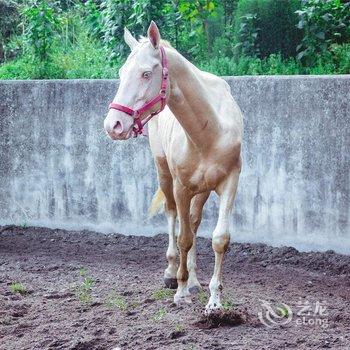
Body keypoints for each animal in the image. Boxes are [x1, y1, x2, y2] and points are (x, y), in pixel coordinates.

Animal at [104, 20, 243, 314]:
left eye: (146, 73)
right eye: (122, 73)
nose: (113, 125)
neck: (209, 131)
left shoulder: (229, 182)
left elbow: (219, 238)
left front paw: (214, 300)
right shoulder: (181, 187)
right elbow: (183, 238)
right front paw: (180, 290)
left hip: (201, 189)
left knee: (193, 220)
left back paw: (194, 279)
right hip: (164, 173)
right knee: (172, 215)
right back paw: (172, 273)